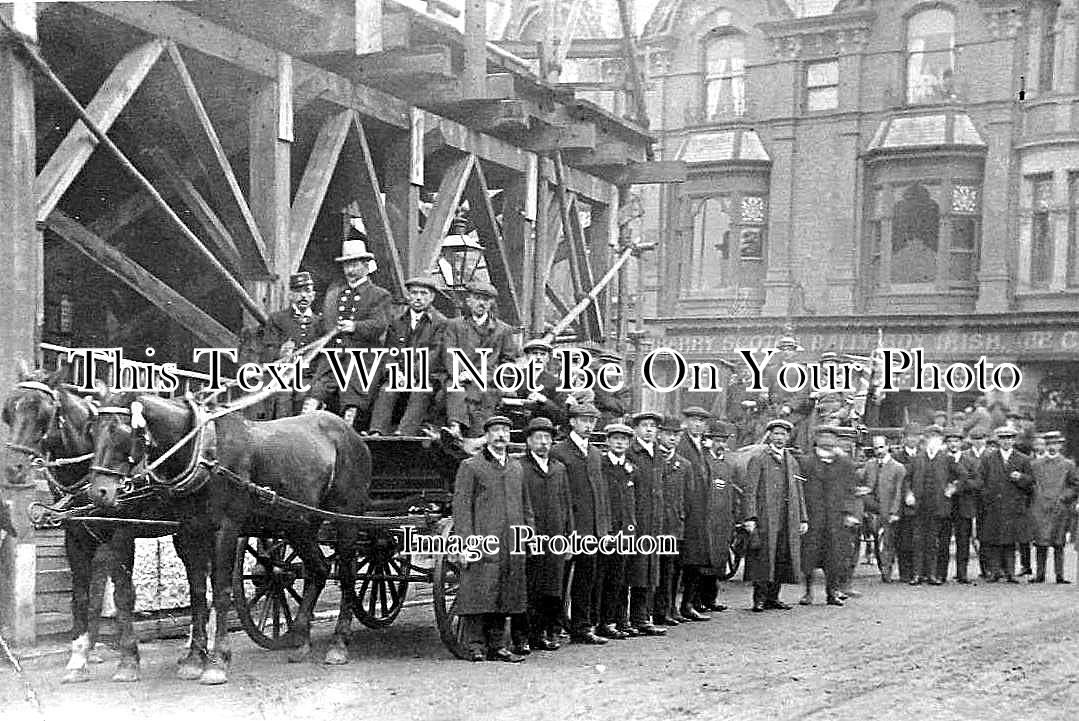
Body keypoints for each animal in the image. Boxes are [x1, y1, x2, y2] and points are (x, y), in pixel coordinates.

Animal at [1, 366, 143, 682]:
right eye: (9, 410)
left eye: (42, 411)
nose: (13, 468)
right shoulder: (77, 536)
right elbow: (83, 595)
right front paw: (79, 657)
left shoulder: (122, 532)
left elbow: (123, 593)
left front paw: (128, 660)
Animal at [85, 395, 371, 682]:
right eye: (92, 431)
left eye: (121, 431)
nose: (99, 492)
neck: (204, 454)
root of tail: (353, 435)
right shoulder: (190, 530)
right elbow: (197, 593)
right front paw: (193, 659)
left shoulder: (226, 528)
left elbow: (221, 590)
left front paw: (218, 661)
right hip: (299, 524)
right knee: (318, 570)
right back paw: (300, 642)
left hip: (346, 518)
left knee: (347, 575)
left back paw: (338, 644)